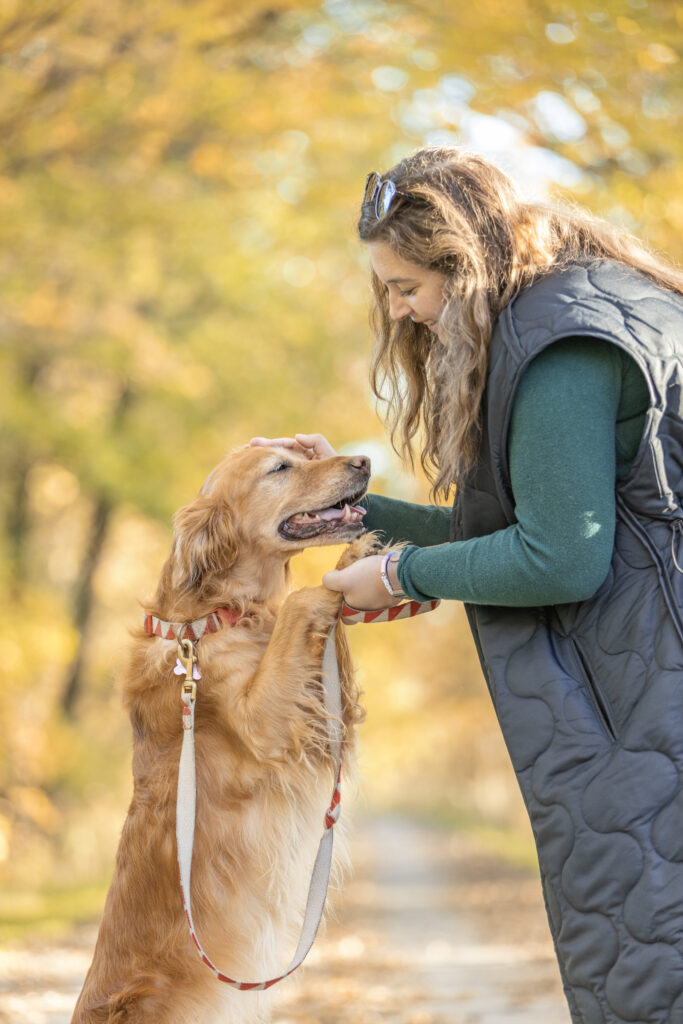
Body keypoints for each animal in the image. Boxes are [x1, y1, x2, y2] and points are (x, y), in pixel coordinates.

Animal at [73, 446, 385, 1024]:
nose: (363, 460)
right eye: (280, 467)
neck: (210, 620)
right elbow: (299, 602)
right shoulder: (266, 726)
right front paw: (344, 566)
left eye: (306, 451)